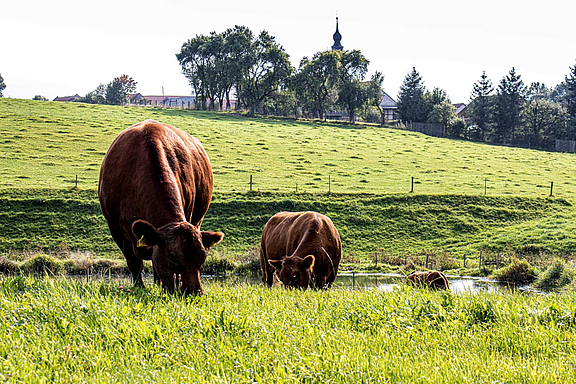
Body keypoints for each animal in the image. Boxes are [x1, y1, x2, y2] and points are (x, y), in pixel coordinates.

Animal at [98, 119, 224, 294]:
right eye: (173, 258)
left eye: (202, 259)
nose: (195, 293)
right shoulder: (116, 228)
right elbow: (134, 262)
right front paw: (139, 287)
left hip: (198, 218)